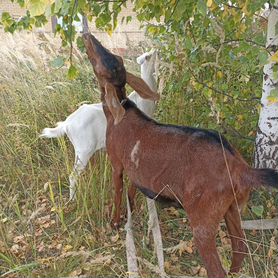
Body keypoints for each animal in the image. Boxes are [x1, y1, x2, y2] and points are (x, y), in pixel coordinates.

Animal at [40, 51, 157, 201]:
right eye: (148, 56)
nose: (156, 51)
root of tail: (66, 124)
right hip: (83, 151)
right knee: (73, 176)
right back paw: (73, 199)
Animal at [82, 33, 278, 278]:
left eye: (102, 64)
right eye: (112, 58)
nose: (87, 36)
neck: (121, 111)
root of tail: (240, 168)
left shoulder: (117, 163)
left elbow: (118, 192)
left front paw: (115, 223)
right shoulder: (136, 170)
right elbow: (131, 191)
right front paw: (132, 212)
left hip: (203, 218)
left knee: (217, 268)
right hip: (232, 207)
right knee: (240, 247)